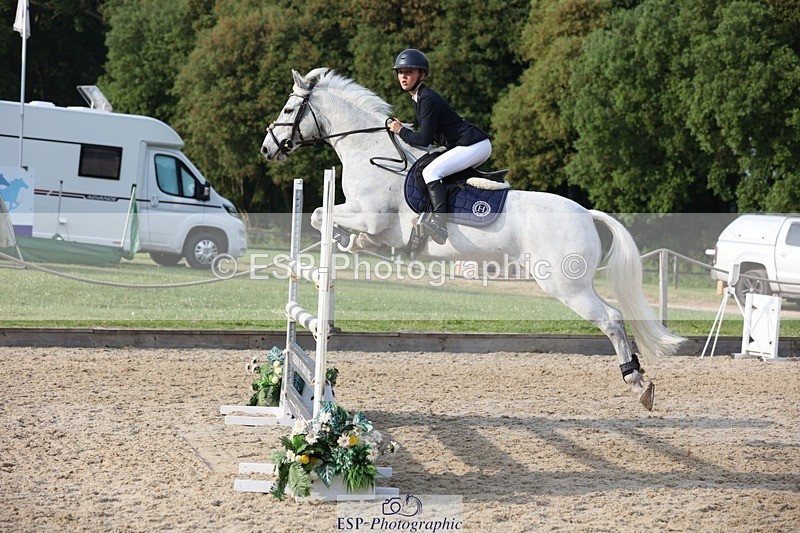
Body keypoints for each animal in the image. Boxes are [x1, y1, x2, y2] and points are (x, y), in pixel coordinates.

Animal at [261, 68, 686, 410]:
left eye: (288, 110)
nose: (267, 149)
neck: (371, 152)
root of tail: (586, 213)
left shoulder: (368, 214)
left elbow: (319, 215)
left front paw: (335, 234)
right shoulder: (380, 232)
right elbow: (346, 233)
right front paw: (346, 244)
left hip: (565, 286)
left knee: (611, 319)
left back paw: (638, 382)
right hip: (574, 282)